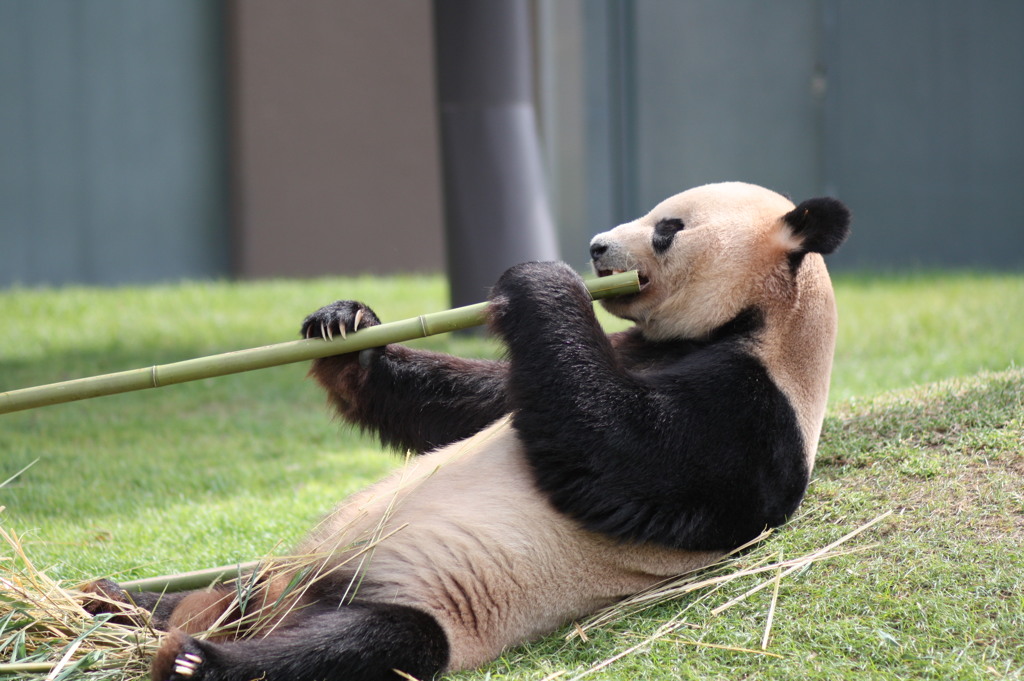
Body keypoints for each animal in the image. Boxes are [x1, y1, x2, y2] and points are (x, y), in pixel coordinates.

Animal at [86, 180, 847, 679]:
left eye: (669, 227)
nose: (598, 247)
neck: (761, 320)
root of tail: (276, 606)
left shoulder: (753, 417)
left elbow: (620, 453)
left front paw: (541, 277)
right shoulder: (635, 354)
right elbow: (489, 401)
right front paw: (345, 328)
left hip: (418, 598)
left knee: (365, 644)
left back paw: (194, 660)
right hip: (266, 576)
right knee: (214, 593)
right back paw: (111, 601)